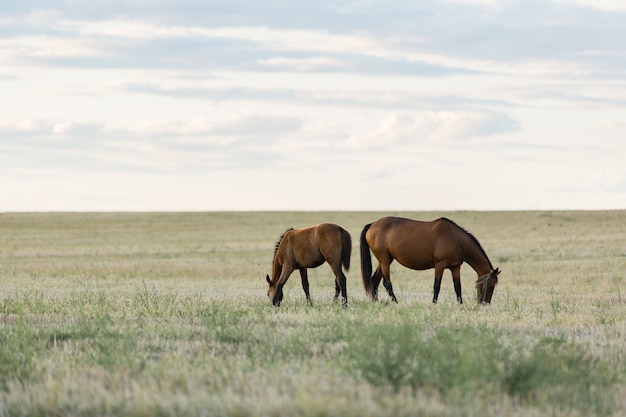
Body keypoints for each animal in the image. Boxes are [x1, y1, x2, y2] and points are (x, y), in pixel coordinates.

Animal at [360, 216, 498, 304]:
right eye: (491, 285)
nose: (485, 304)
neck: (455, 239)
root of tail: (372, 225)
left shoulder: (455, 267)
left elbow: (457, 286)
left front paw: (460, 304)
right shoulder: (440, 265)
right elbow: (437, 285)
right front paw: (434, 304)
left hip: (386, 259)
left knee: (375, 280)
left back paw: (376, 302)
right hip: (384, 260)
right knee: (386, 283)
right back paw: (395, 302)